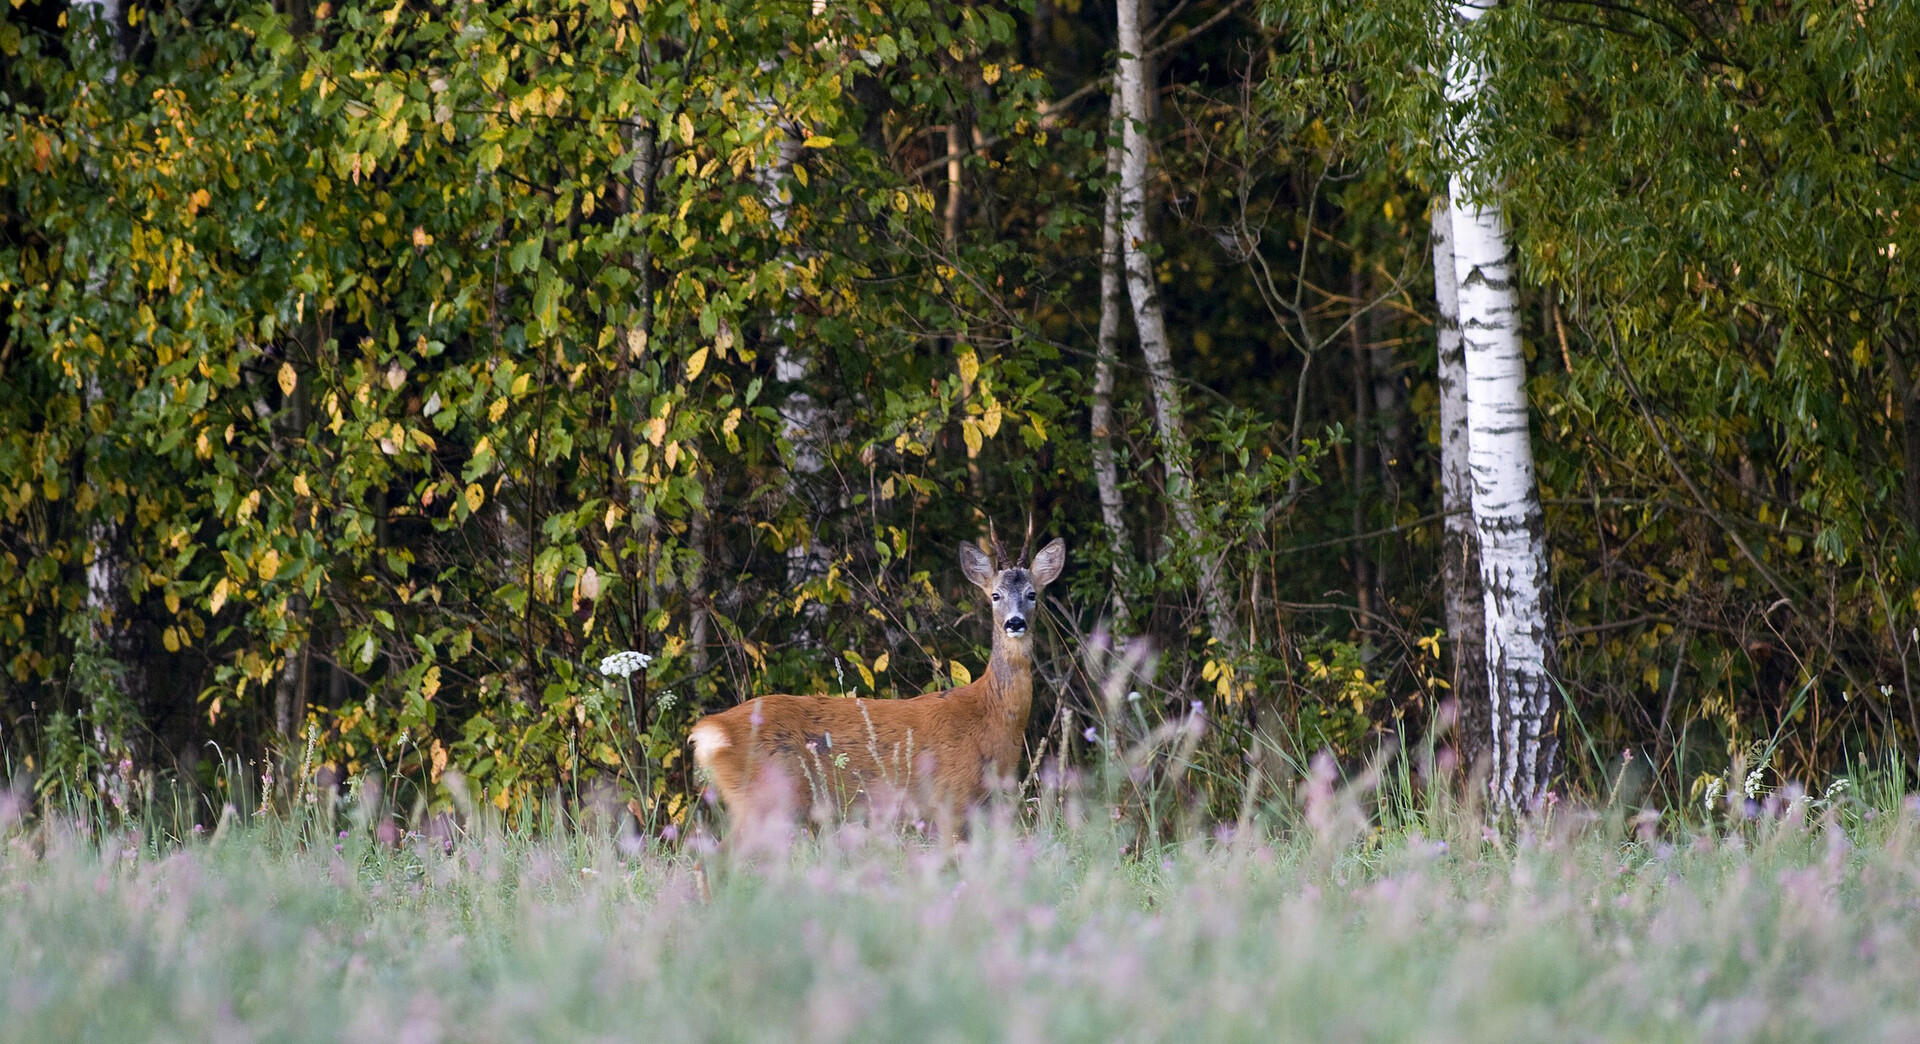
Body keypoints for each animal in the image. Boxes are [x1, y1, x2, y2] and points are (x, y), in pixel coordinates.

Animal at [687, 537, 1067, 832]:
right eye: (995, 595)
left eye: (1032, 594)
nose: (1015, 623)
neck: (990, 713)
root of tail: (711, 730)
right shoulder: (950, 797)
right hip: (765, 799)